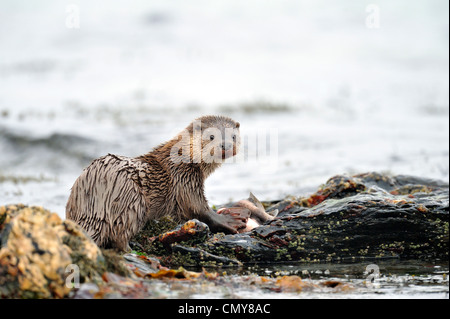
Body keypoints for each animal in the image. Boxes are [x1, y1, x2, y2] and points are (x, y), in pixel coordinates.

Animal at [66, 116, 250, 251]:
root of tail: (94, 204)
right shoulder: (184, 180)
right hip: (131, 201)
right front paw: (230, 220)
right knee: (120, 235)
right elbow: (198, 208)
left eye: (233, 136)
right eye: (211, 136)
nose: (226, 145)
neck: (182, 158)